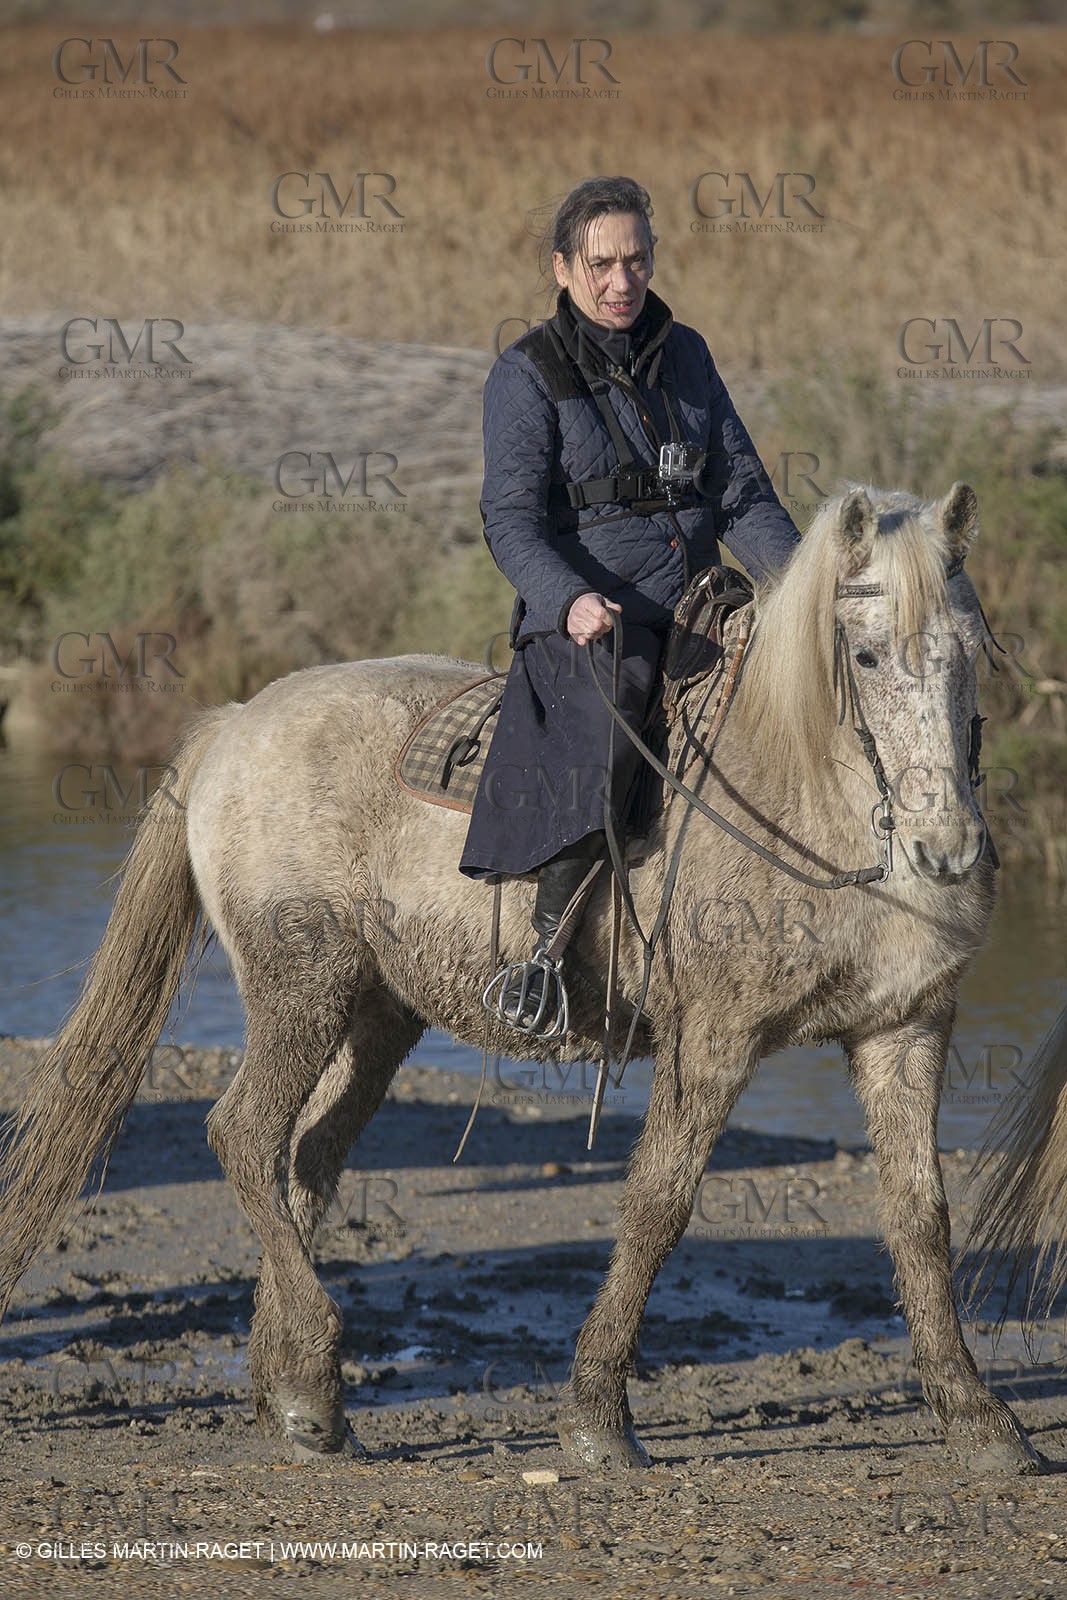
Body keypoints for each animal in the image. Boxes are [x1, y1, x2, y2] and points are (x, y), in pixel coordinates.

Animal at [0, 482, 1041, 1477]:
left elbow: (919, 1215)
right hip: (302, 986)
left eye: (971, 651)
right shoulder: (713, 1039)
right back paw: (315, 1357)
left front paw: (980, 1422)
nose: (947, 849)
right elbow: (658, 1204)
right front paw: (597, 1420)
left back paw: (302, 1399)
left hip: (378, 1014)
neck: (798, 789)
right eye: (864, 658)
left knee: (308, 1156)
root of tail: (235, 723)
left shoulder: (905, 1029)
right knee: (246, 1136)